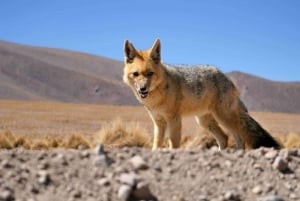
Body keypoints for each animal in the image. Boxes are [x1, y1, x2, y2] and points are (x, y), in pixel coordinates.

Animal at [122, 38, 282, 149]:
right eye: (136, 74)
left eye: (150, 74)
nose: (143, 89)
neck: (156, 99)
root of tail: (225, 76)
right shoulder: (158, 122)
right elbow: (156, 145)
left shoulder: (174, 120)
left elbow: (174, 144)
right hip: (205, 121)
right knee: (224, 138)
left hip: (224, 117)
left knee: (239, 137)